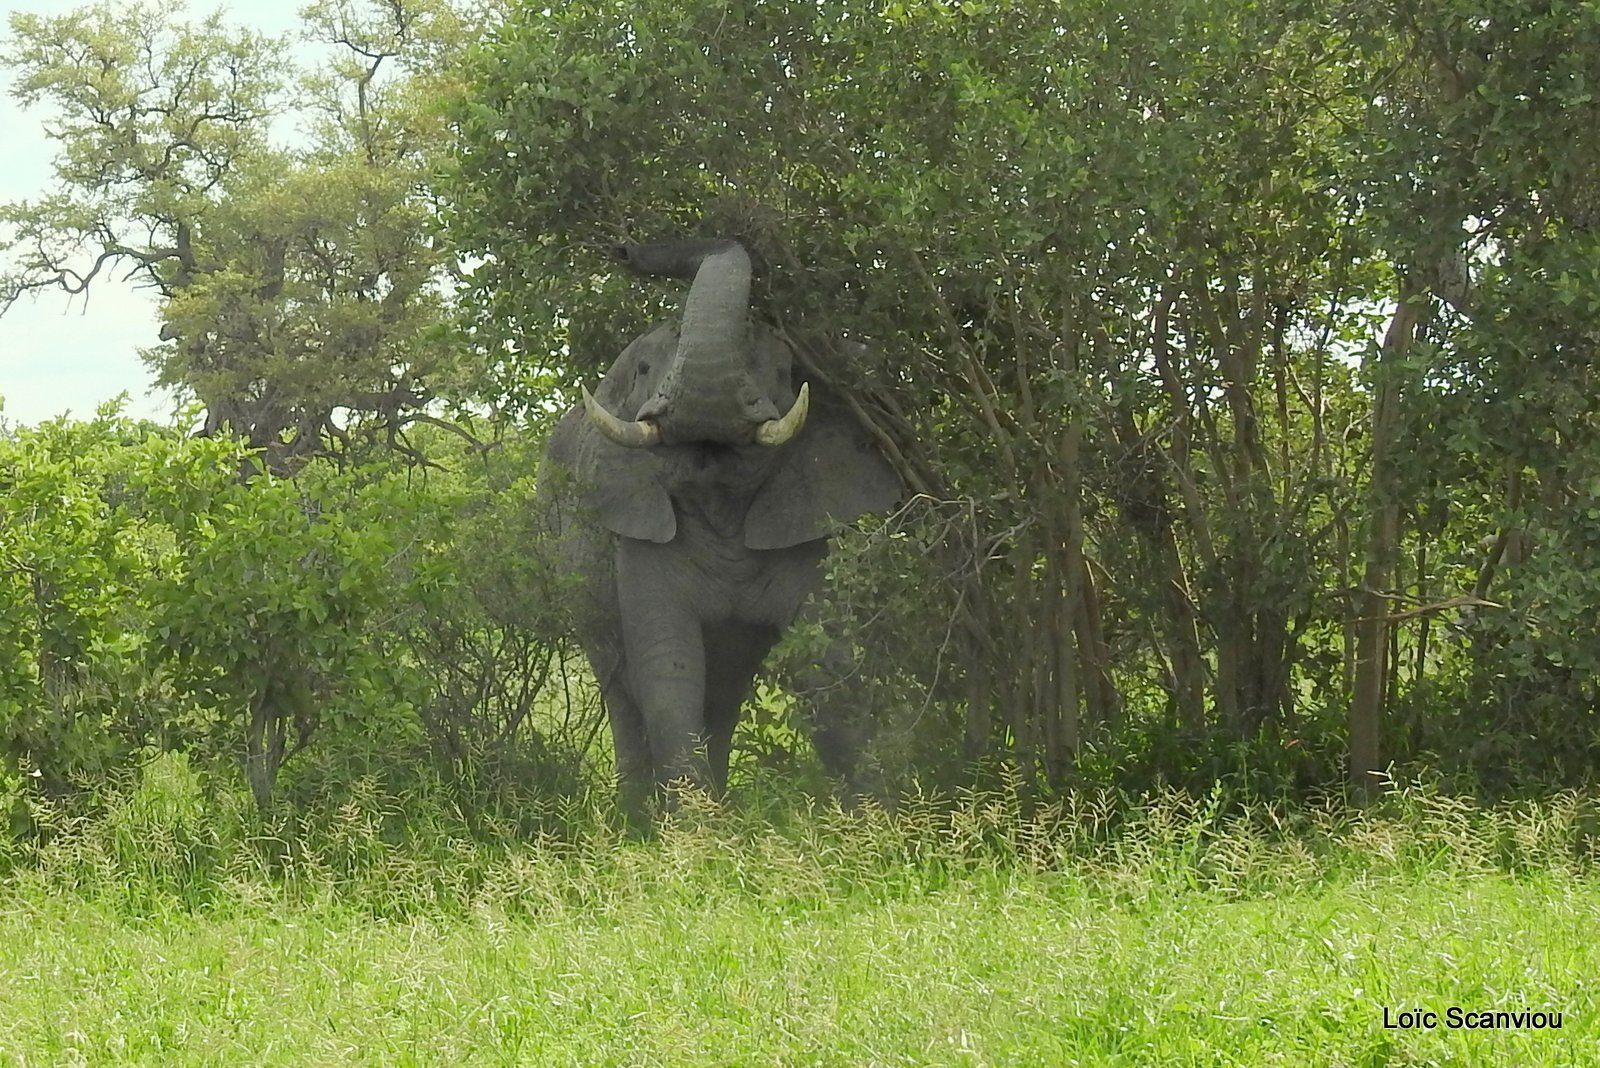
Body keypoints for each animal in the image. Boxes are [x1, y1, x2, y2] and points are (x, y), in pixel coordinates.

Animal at [537, 239, 908, 808]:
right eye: (643, 369)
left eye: (783, 372)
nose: (632, 250)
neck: (717, 491)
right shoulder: (638, 534)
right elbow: (668, 667)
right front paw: (694, 825)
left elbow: (825, 662)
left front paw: (880, 815)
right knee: (620, 688)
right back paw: (634, 815)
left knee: (726, 691)